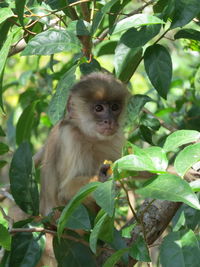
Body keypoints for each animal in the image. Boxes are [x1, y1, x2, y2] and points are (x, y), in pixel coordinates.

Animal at [39, 72, 129, 217]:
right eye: (99, 108)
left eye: (115, 107)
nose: (109, 121)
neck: (89, 137)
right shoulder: (69, 136)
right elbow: (65, 191)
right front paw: (102, 177)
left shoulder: (116, 136)